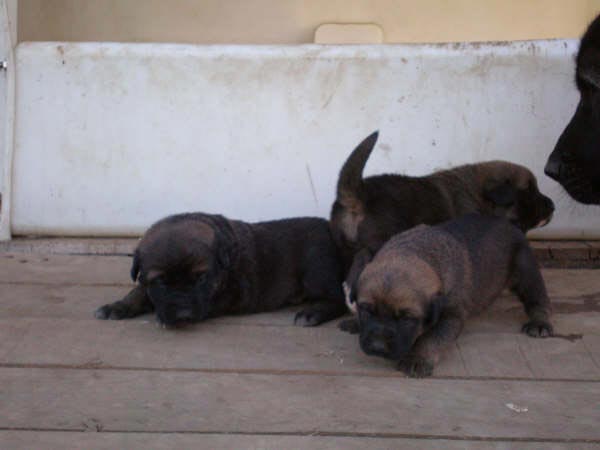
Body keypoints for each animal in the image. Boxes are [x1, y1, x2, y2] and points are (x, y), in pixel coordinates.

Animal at [95, 213, 344, 328]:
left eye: (200, 278)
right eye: (161, 282)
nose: (183, 315)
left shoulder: (232, 294)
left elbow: (207, 304)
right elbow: (138, 291)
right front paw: (118, 306)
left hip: (316, 270)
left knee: (339, 298)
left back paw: (312, 313)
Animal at [330, 132, 556, 298]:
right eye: (529, 191)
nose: (553, 206)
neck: (480, 197)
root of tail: (360, 192)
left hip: (343, 248)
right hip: (380, 243)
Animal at [342, 216, 552, 378]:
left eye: (407, 319)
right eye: (366, 311)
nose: (378, 347)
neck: (416, 252)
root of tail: (512, 223)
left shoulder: (451, 315)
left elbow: (432, 337)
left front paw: (417, 358)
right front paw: (355, 321)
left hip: (526, 268)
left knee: (538, 298)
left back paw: (539, 323)